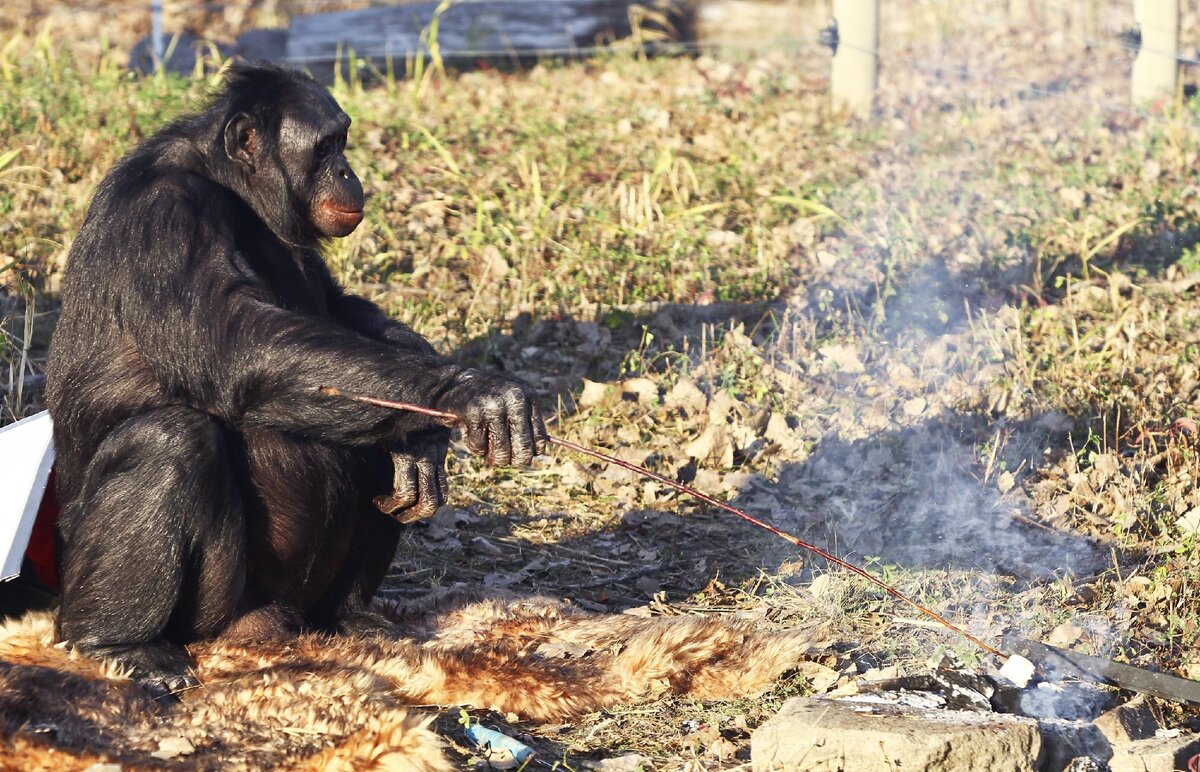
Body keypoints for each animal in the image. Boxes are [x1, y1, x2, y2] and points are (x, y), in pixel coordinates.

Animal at [43, 63, 549, 696]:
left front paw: (428, 427)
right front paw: (465, 394)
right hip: (209, 612)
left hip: (299, 600)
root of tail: (271, 624)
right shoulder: (166, 218)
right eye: (325, 146)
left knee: (365, 429)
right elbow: (236, 341)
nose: (348, 171)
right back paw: (120, 644)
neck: (232, 190)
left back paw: (354, 614)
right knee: (169, 440)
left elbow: (336, 308)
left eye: (342, 140)